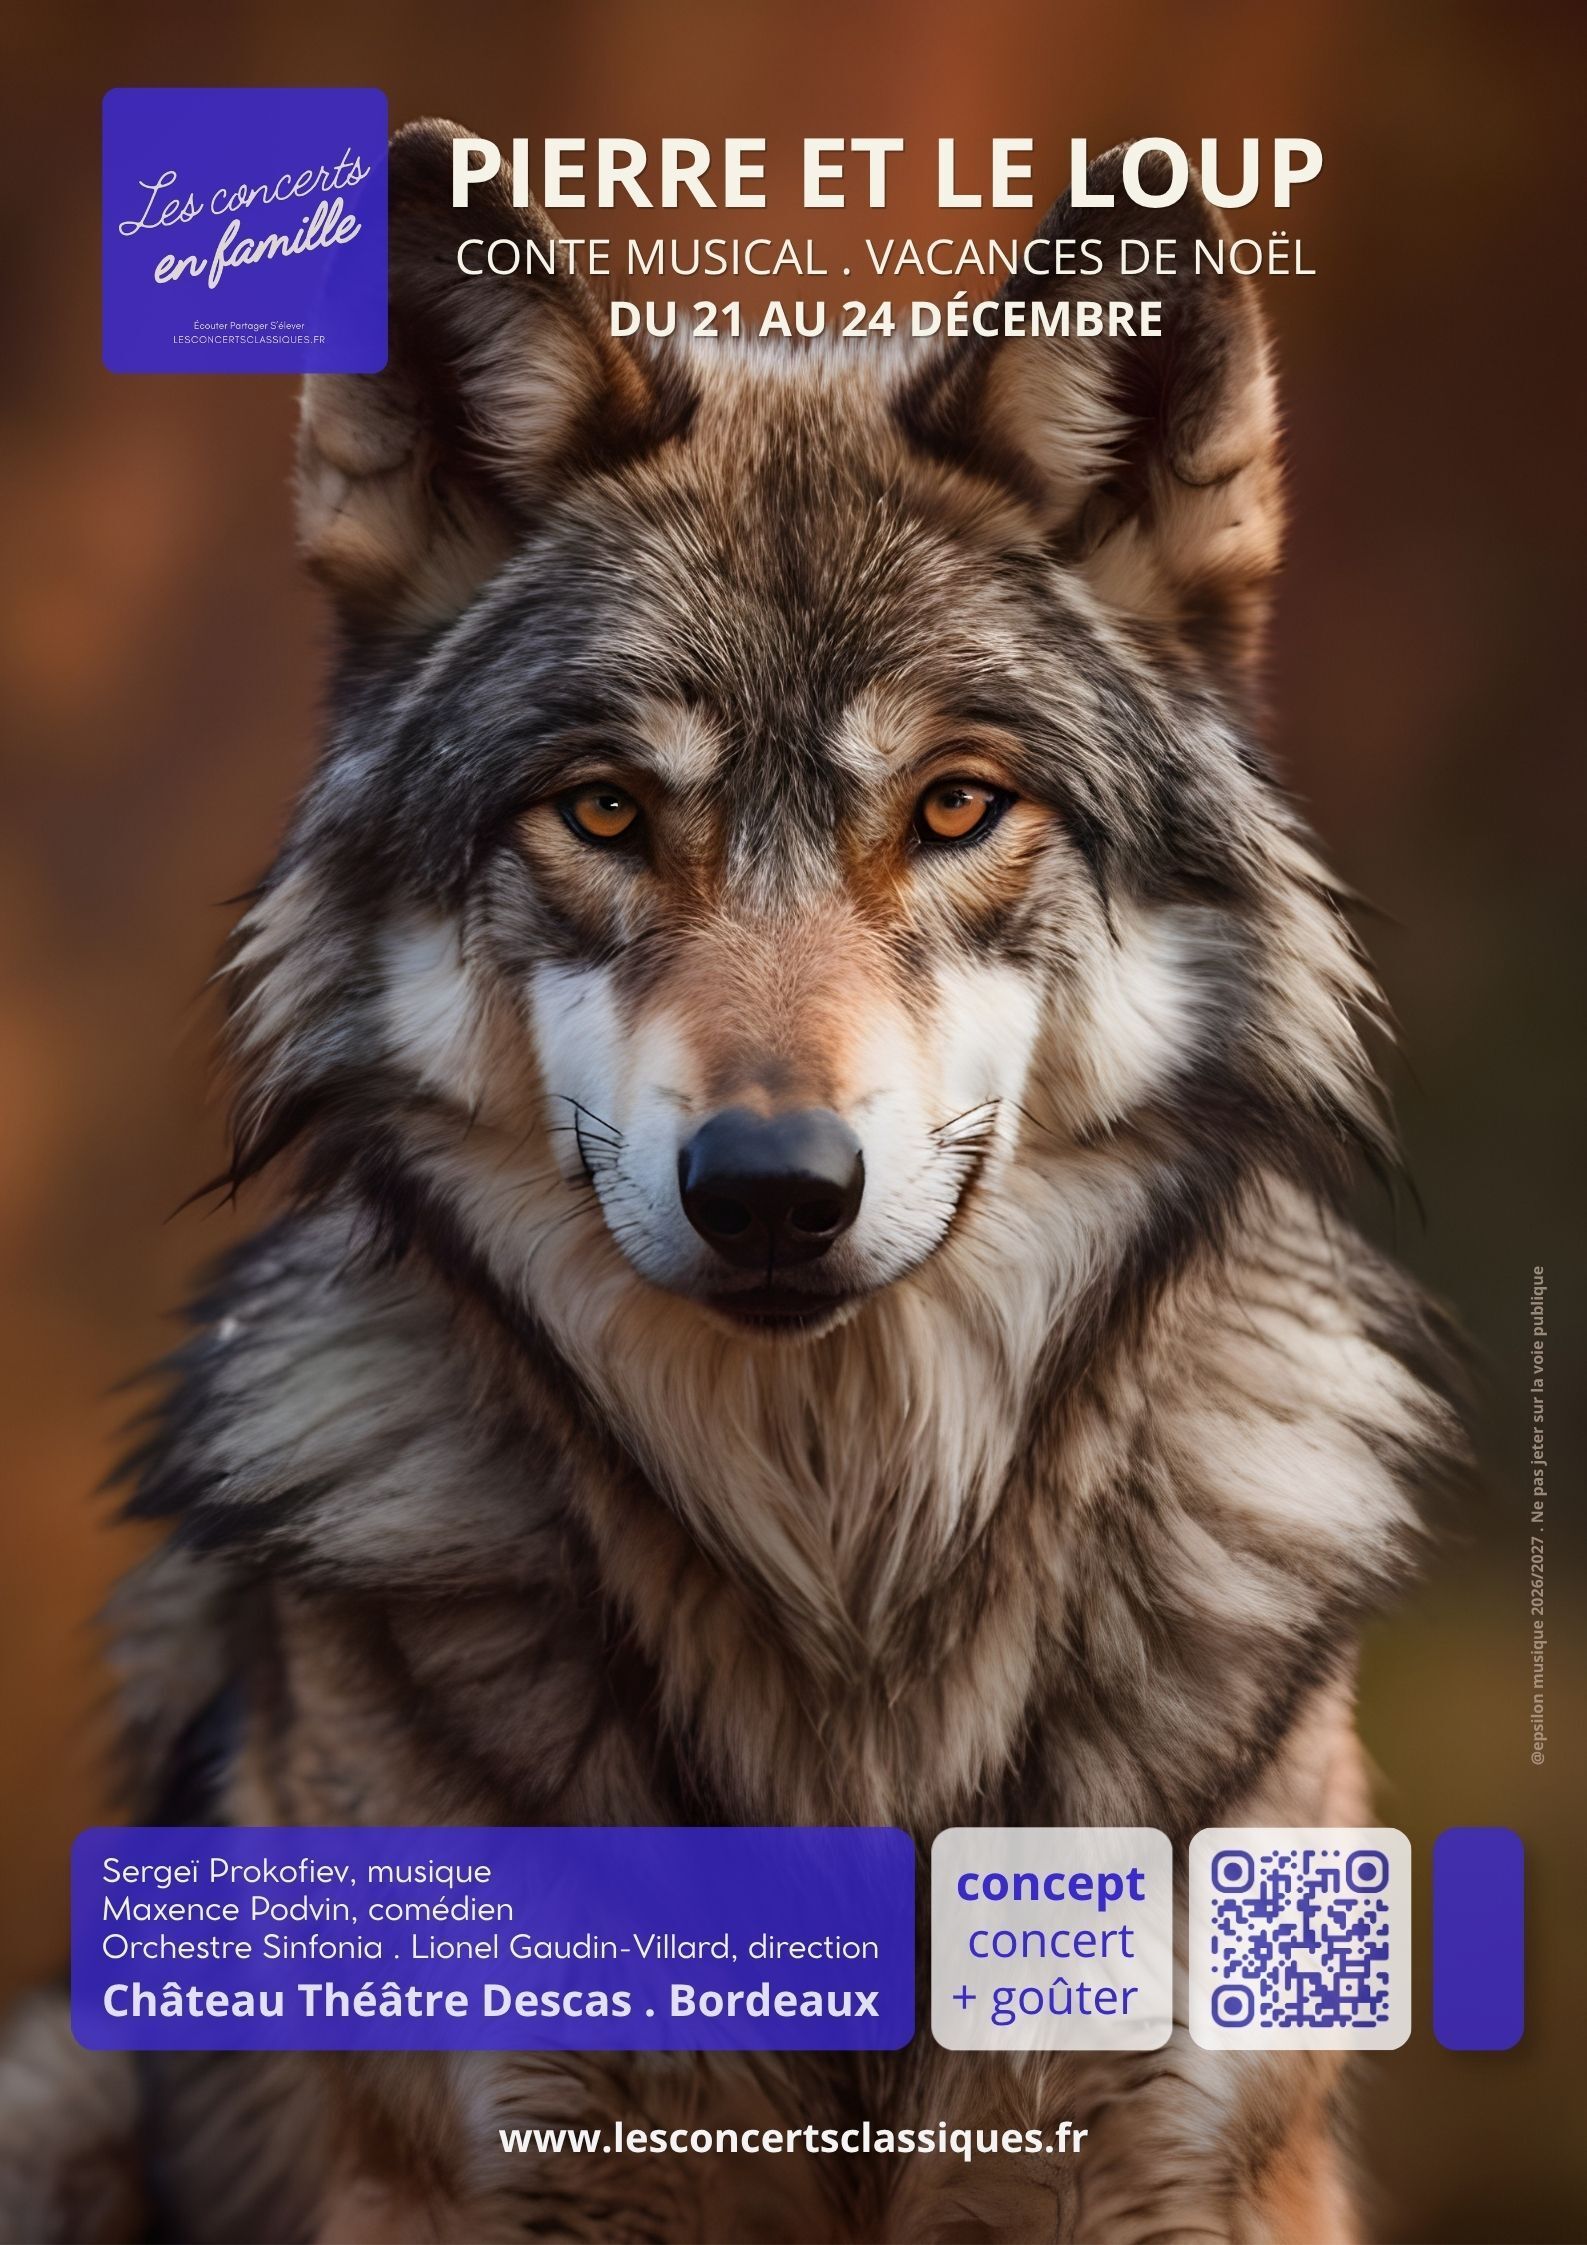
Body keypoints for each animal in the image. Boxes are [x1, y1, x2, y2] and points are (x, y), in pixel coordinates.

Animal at [0, 124, 1460, 2243]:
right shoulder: (487, 2167)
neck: (838, 1614)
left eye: (954, 806)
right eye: (606, 810)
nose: (773, 1188)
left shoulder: (1180, 2164)